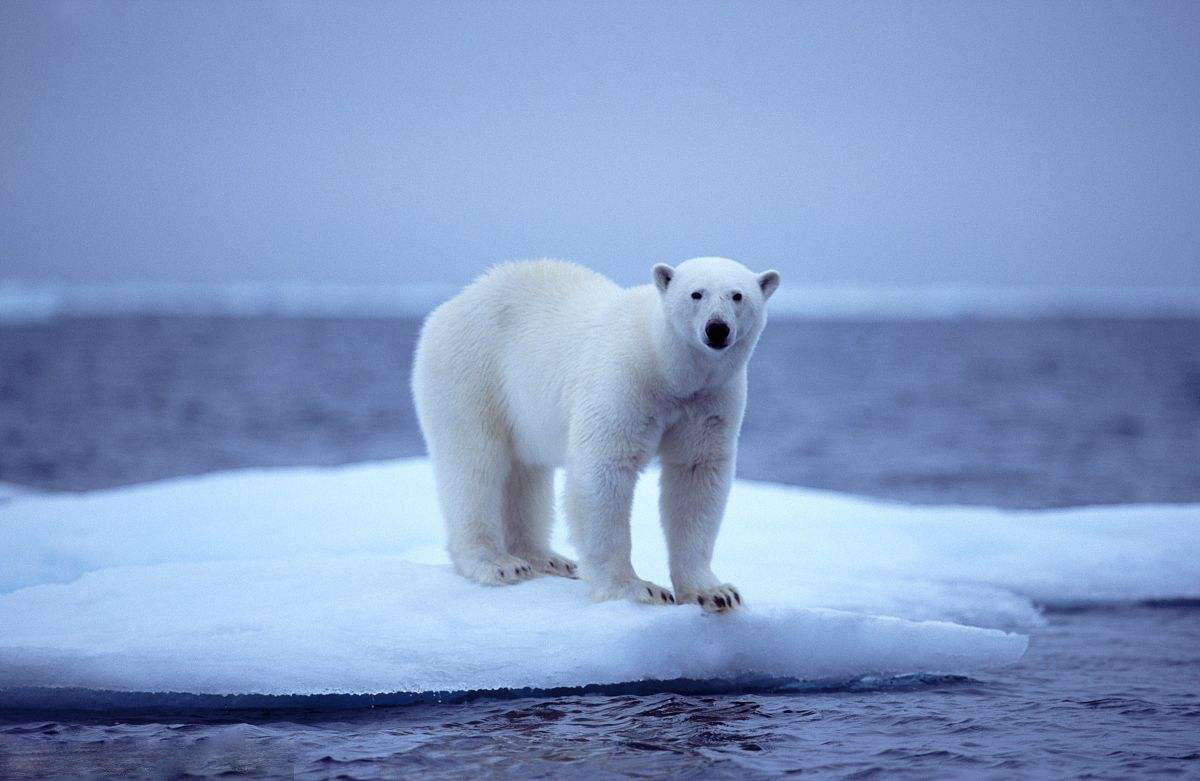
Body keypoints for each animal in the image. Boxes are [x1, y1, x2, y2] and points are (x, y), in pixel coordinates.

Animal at [412, 256, 782, 611]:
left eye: (738, 295)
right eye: (696, 293)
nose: (717, 329)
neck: (667, 367)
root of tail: (453, 304)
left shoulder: (709, 401)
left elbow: (696, 476)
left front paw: (715, 592)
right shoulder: (624, 380)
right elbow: (604, 470)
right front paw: (636, 588)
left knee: (526, 473)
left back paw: (546, 558)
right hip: (472, 373)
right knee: (475, 466)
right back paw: (497, 562)